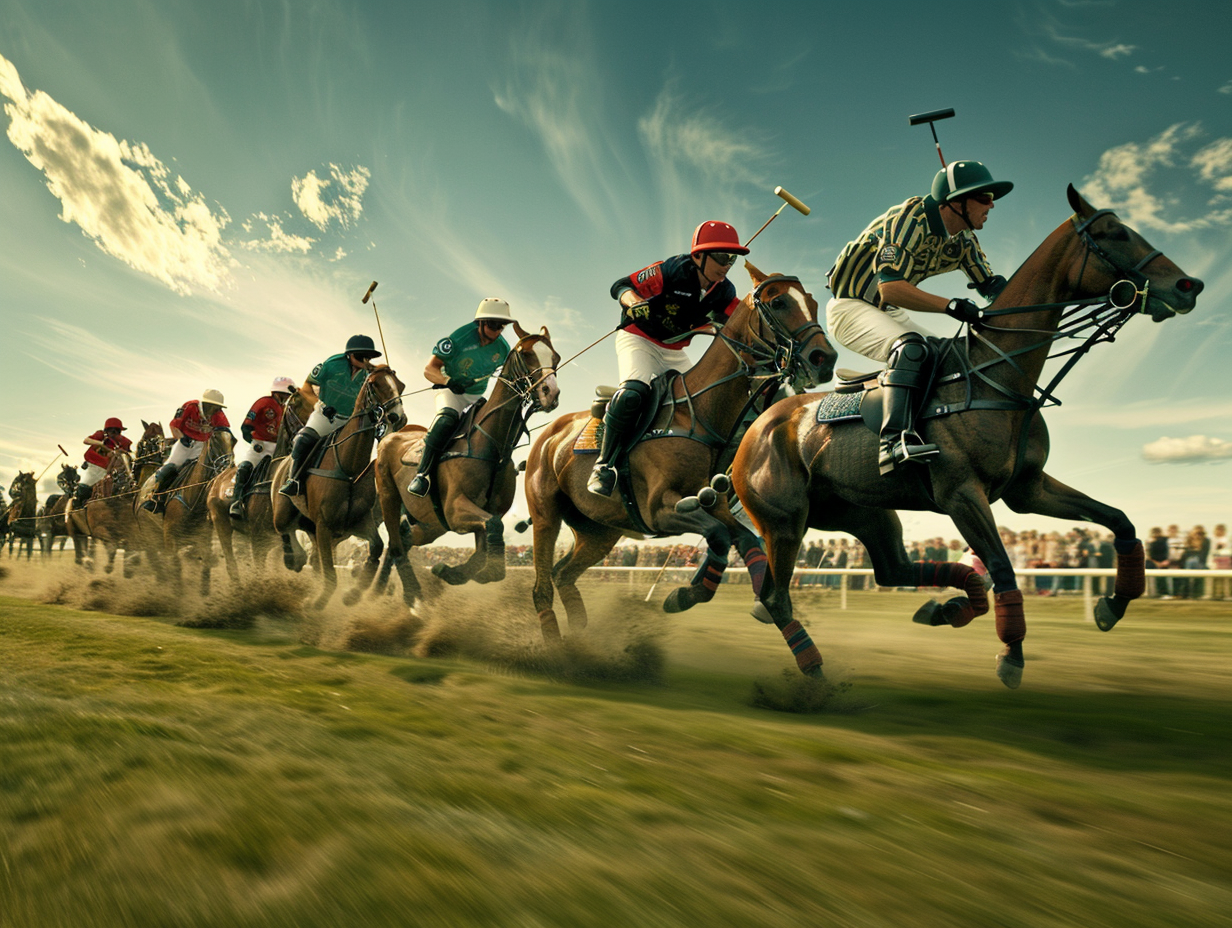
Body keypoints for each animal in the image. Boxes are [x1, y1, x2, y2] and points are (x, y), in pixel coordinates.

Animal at [268, 364, 404, 611]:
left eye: (400, 385)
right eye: (375, 385)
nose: (399, 416)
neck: (349, 468)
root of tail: (283, 462)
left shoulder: (359, 522)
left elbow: (376, 549)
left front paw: (353, 594)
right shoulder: (324, 524)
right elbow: (329, 571)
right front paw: (318, 601)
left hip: (312, 526)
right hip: (283, 511)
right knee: (284, 529)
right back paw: (294, 558)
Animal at [372, 322, 561, 603]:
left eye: (555, 358)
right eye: (526, 354)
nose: (551, 393)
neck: (494, 448)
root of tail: (390, 436)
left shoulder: (485, 513)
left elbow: (487, 544)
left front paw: (452, 571)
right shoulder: (454, 509)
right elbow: (493, 529)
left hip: (430, 523)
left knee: (405, 539)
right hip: (389, 498)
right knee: (395, 545)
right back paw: (405, 594)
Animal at [519, 258, 837, 635]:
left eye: (813, 302)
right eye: (778, 302)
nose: (824, 359)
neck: (700, 413)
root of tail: (548, 435)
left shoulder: (715, 505)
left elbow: (739, 539)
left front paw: (687, 595)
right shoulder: (659, 510)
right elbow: (719, 536)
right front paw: (683, 595)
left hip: (599, 530)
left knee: (564, 575)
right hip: (546, 515)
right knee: (541, 586)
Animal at [729, 184, 1202, 690]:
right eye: (1114, 233)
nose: (1189, 286)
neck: (1000, 374)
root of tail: (753, 428)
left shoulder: (1027, 488)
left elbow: (1119, 520)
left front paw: (1113, 604)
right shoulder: (961, 493)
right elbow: (1004, 568)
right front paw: (1011, 655)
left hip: (864, 512)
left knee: (891, 569)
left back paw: (948, 606)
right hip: (784, 521)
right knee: (775, 598)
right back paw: (815, 672)